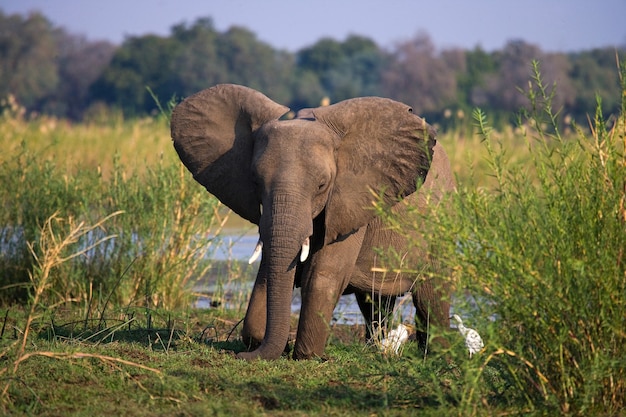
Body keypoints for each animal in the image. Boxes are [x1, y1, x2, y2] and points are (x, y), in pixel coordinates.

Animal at [171, 83, 454, 360]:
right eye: (255, 182)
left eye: (322, 185)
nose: (239, 356)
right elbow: (269, 269)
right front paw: (262, 341)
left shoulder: (352, 200)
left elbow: (321, 274)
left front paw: (306, 355)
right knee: (375, 303)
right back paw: (377, 350)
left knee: (431, 296)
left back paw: (436, 358)